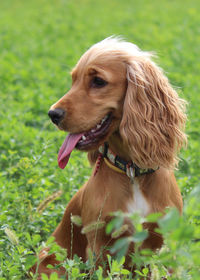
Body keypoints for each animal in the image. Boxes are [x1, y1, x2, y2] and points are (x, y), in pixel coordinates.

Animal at [30, 37, 186, 278]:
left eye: (98, 81)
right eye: (73, 80)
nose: (52, 114)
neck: (132, 172)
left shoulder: (165, 243)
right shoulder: (101, 246)